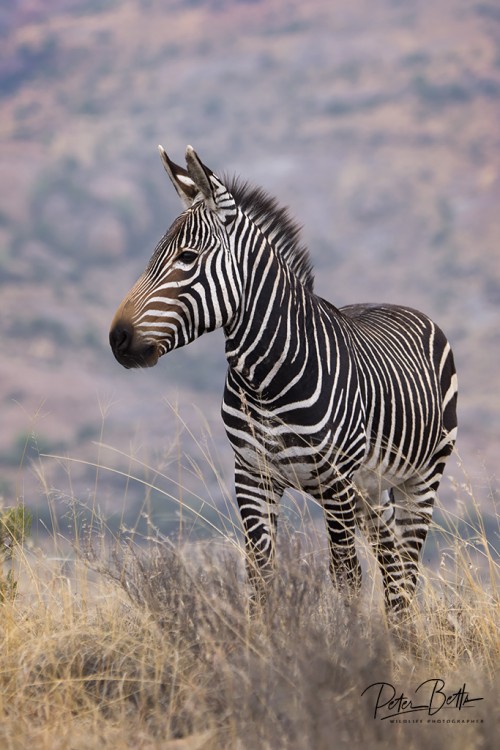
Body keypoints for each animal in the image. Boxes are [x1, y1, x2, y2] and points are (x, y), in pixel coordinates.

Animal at [109, 144, 458, 612]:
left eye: (187, 258)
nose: (117, 339)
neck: (265, 382)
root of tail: (401, 306)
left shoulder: (334, 480)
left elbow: (346, 577)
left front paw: (349, 635)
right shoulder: (253, 476)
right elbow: (259, 575)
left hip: (420, 477)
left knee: (405, 567)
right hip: (369, 488)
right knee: (391, 563)